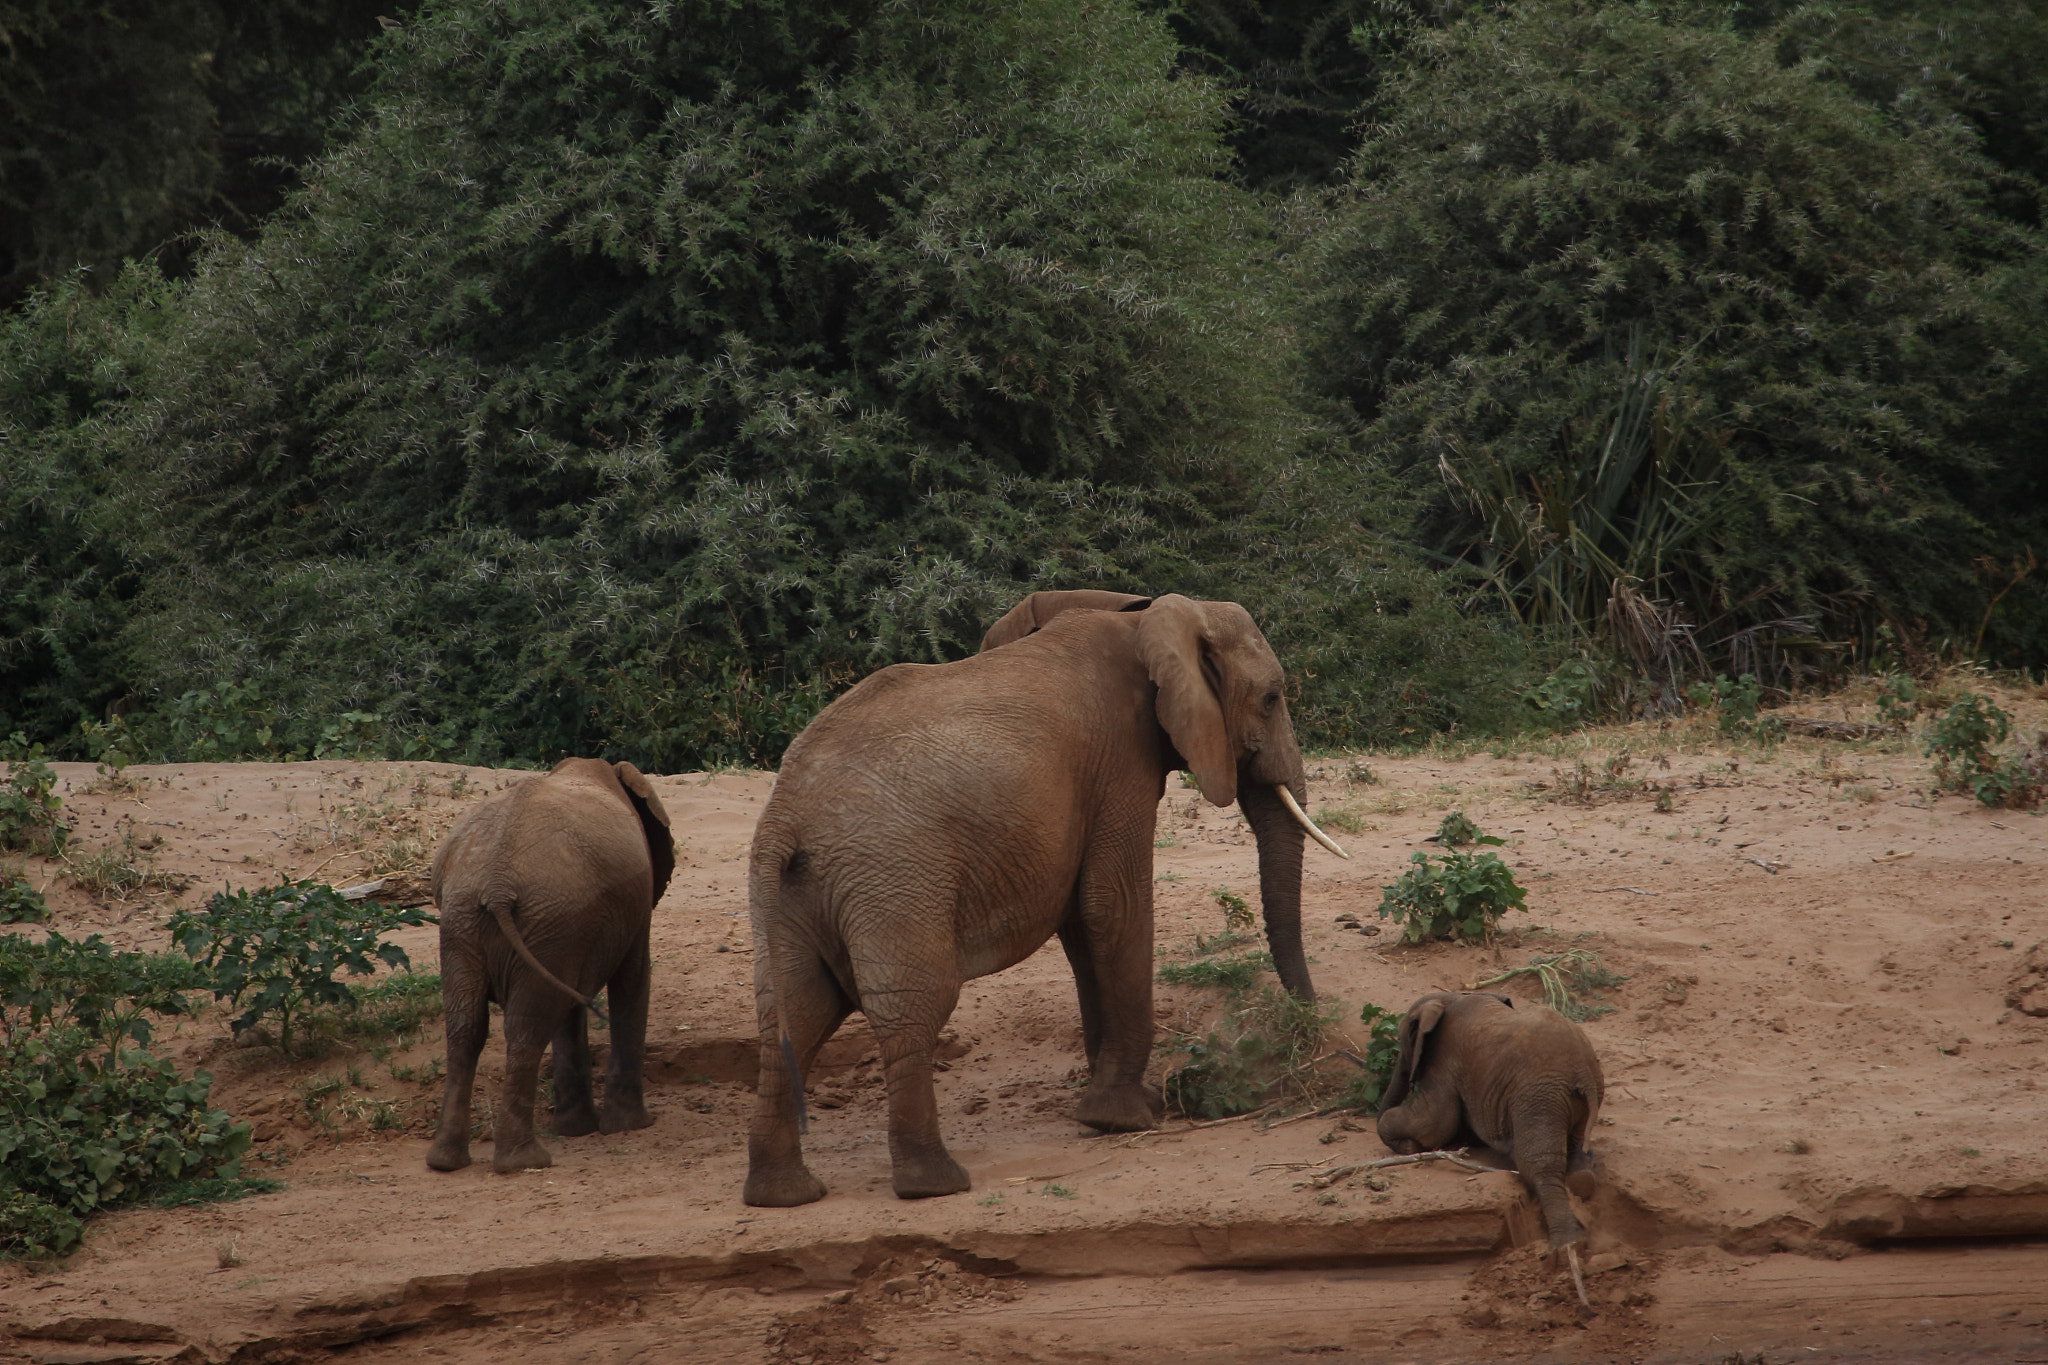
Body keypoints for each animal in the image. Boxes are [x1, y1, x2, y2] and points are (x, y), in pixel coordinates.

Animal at [425, 757, 674, 1173]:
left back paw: (447, 1162)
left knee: (468, 1026)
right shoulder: (626, 912)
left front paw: (579, 1131)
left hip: (471, 923)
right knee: (527, 1026)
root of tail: (496, 883)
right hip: (539, 918)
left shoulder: (572, 931)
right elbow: (632, 980)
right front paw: (632, 1127)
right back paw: (524, 1162)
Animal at [743, 591, 1349, 1207]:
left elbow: (1083, 923)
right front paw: (1126, 1120)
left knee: (795, 1011)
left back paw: (782, 1194)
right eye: (1271, 698)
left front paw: (1116, 1106)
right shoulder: (1121, 758)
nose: (1307, 1028)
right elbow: (1115, 905)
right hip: (893, 877)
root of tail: (784, 818)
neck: (1142, 614)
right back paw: (935, 1184)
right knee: (912, 1006)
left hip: (794, 895)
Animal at [1376, 991, 1605, 1249]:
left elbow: (1434, 1123)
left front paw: (1409, 1145)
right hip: (1579, 1096)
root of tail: (1583, 1074)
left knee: (1539, 1165)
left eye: (1403, 1039)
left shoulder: (1443, 1060)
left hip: (1539, 1097)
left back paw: (1566, 1243)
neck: (1448, 997)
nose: (1405, 1145)